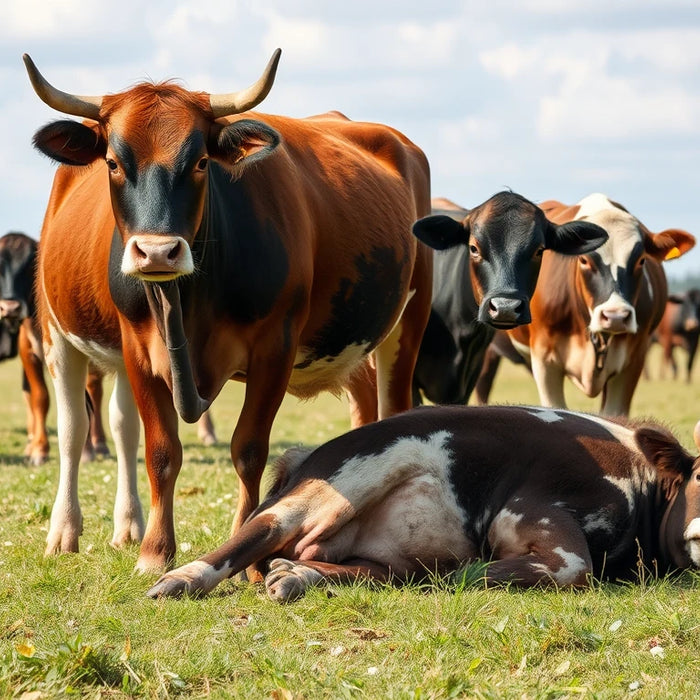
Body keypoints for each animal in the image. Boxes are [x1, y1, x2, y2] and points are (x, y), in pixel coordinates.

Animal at [26, 49, 432, 576]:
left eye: (200, 161)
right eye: (113, 163)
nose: (157, 252)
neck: (191, 301)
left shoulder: (276, 346)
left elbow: (249, 449)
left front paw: (247, 554)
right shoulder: (136, 349)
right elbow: (160, 450)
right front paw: (154, 551)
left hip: (403, 324)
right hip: (57, 335)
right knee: (79, 429)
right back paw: (70, 532)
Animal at [146, 402, 700, 600]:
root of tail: (304, 458)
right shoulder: (529, 505)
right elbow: (571, 568)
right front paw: (465, 574)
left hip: (370, 551)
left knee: (360, 570)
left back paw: (296, 576)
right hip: (332, 487)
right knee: (257, 533)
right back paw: (178, 580)